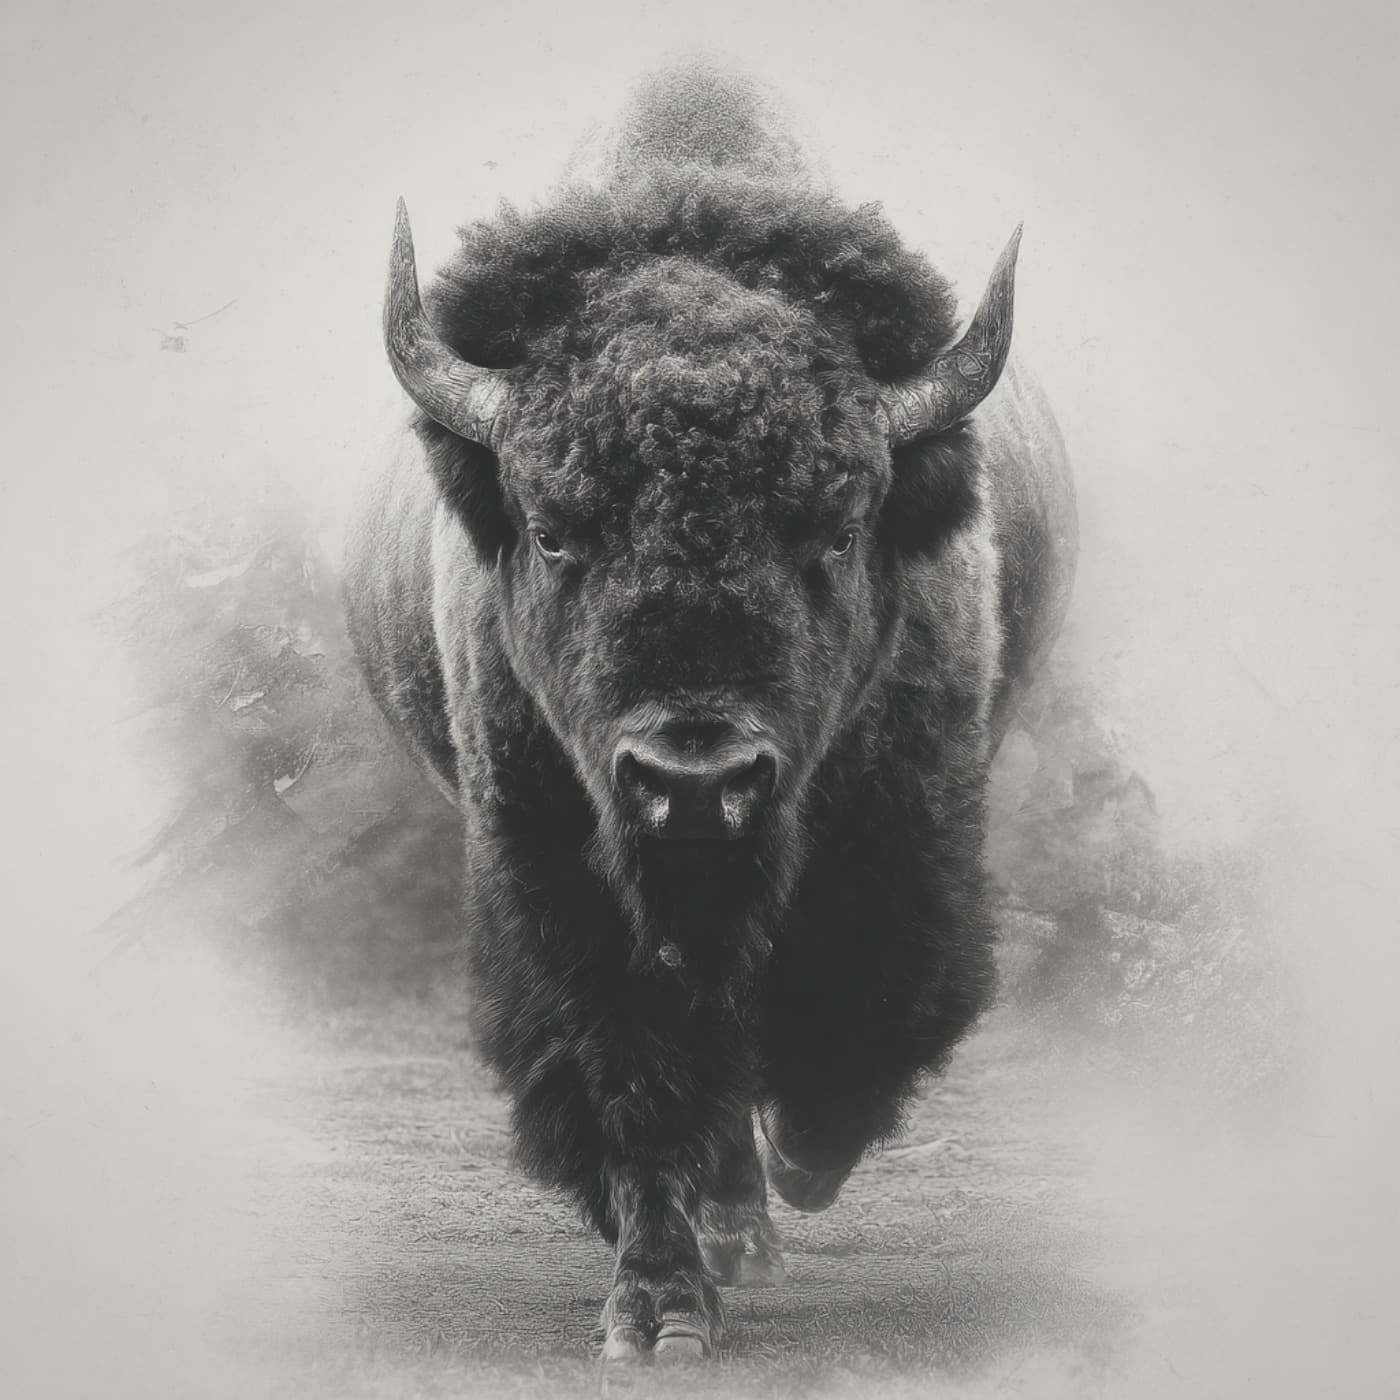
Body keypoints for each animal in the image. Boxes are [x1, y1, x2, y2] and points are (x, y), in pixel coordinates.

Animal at [345, 62, 1077, 1360]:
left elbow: (852, 1016)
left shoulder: (893, 845)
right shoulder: (571, 882)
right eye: (552, 528)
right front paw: (657, 1306)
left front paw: (797, 1166)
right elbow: (637, 1065)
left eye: (836, 528)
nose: (694, 778)